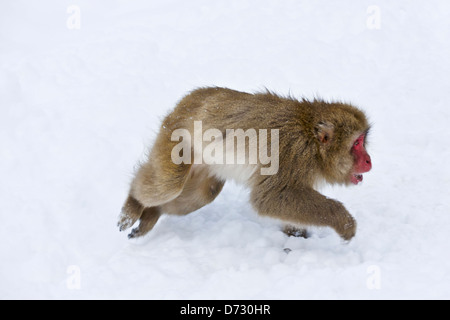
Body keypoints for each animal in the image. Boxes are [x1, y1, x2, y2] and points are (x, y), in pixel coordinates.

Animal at [118, 87, 370, 240]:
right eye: (357, 143)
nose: (369, 160)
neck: (311, 141)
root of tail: (190, 98)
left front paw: (297, 237)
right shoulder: (291, 153)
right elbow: (269, 198)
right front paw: (343, 221)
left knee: (203, 194)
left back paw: (152, 213)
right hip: (174, 136)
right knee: (169, 184)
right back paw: (133, 205)